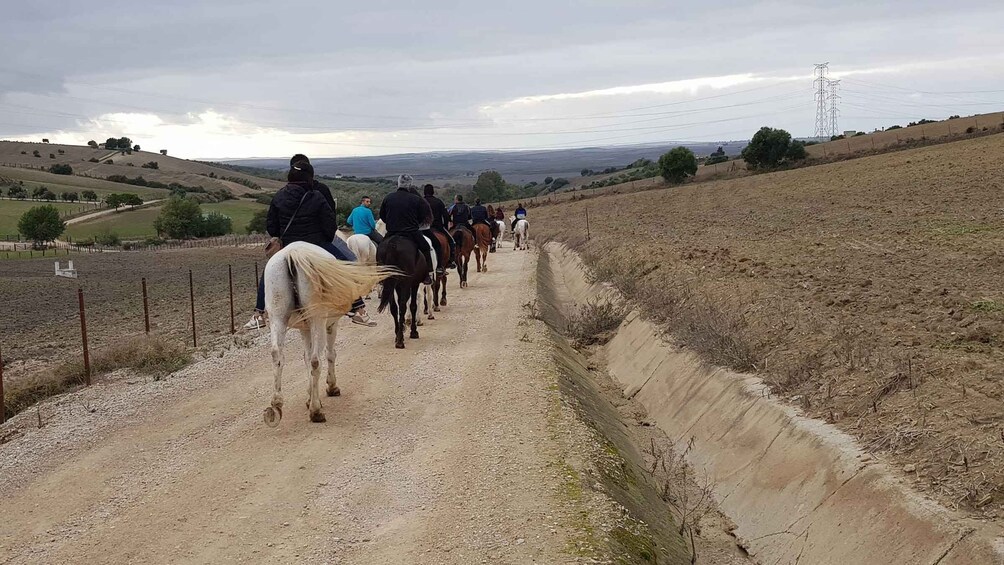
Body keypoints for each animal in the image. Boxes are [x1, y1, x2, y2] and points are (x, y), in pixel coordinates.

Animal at [263, 240, 391, 427]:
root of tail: (292, 254)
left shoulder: (305, 328)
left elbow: (306, 358)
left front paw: (309, 397)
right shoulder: (330, 324)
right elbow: (329, 355)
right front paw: (330, 388)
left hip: (277, 318)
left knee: (277, 355)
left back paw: (276, 405)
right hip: (318, 320)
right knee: (316, 360)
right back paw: (316, 412)